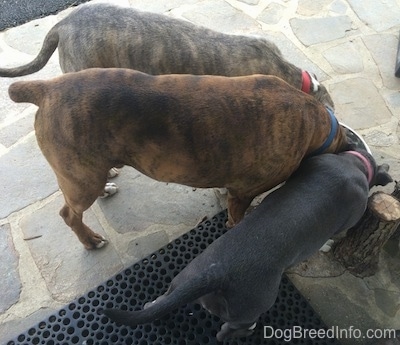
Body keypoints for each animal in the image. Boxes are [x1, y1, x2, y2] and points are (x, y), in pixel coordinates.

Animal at [7, 68, 348, 249]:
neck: (315, 124)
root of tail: (47, 88)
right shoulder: (242, 194)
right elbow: (238, 218)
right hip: (81, 183)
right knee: (70, 215)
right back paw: (90, 240)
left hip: (85, 173)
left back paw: (106, 187)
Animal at [102, 149, 390, 340]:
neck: (355, 163)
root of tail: (216, 274)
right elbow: (333, 236)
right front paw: (328, 244)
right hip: (254, 303)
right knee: (228, 330)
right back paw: (245, 331)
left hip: (184, 279)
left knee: (162, 300)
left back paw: (153, 304)